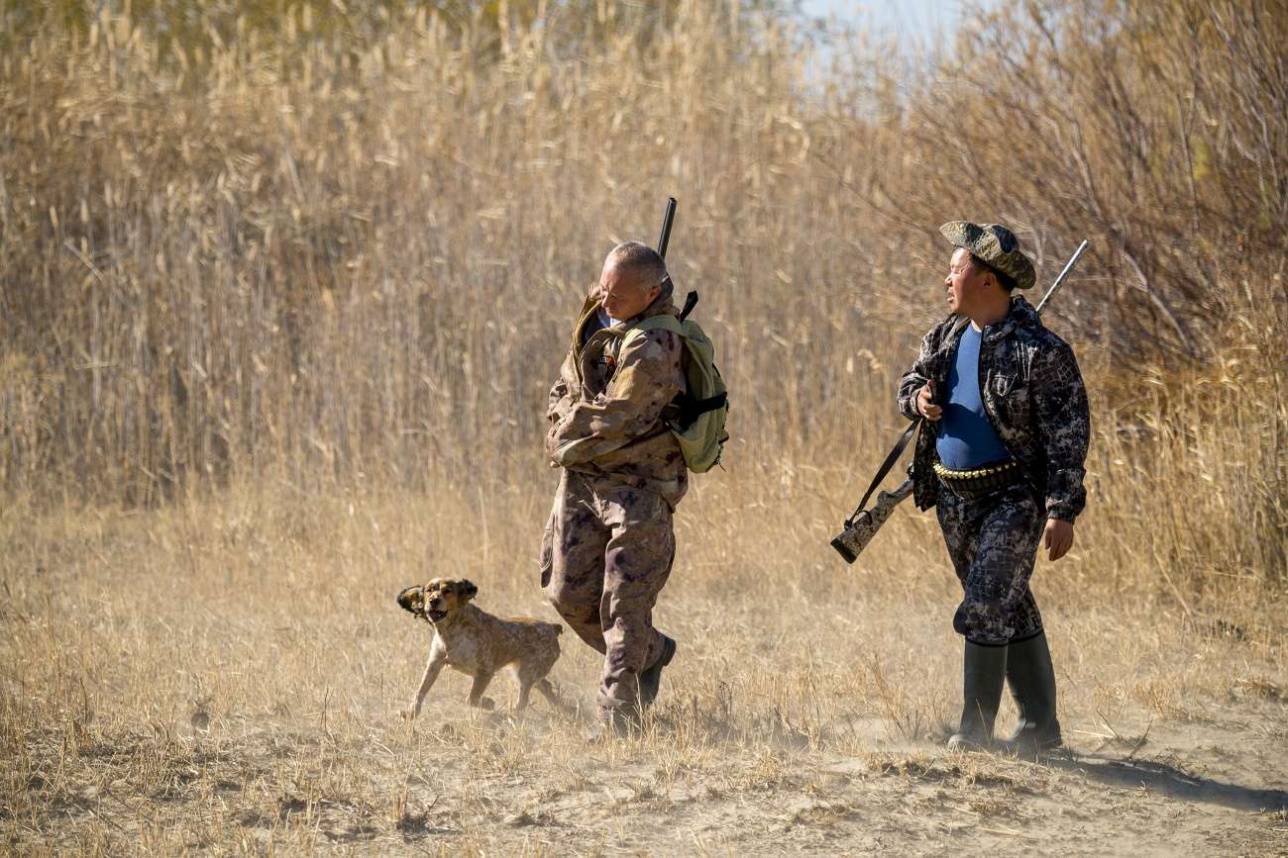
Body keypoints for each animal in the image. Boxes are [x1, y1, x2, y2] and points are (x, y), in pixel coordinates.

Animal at [396, 574, 564, 716]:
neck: (450, 631)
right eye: (429, 590)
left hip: (526, 673)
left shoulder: (485, 671)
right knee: (546, 687)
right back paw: (560, 708)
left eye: (447, 591)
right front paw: (411, 712)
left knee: (523, 700)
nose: (433, 601)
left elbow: (471, 698)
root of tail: (552, 628)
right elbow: (420, 691)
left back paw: (512, 715)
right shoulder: (434, 664)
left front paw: (489, 703)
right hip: (528, 673)